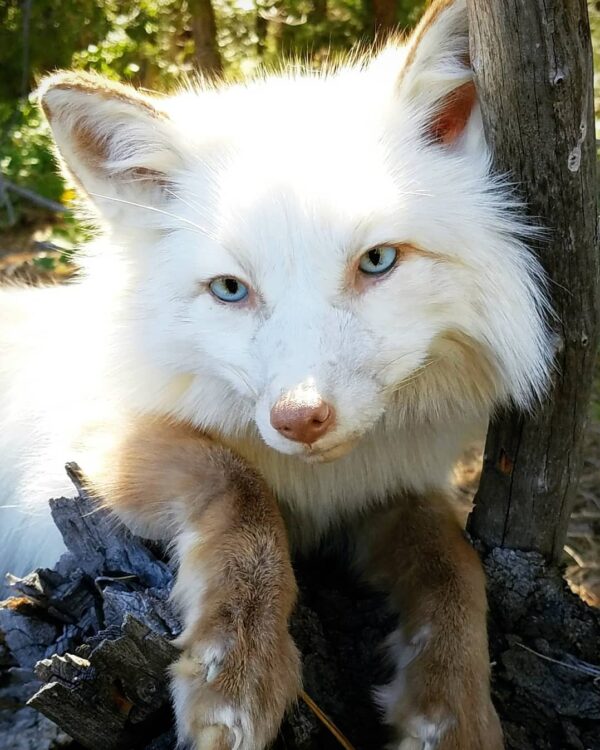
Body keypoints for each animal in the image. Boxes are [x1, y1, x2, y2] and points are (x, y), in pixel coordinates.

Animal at [0, 0, 553, 748]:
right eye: (230, 290)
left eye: (377, 261)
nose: (300, 418)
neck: (321, 488)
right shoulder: (74, 462)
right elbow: (240, 489)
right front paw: (238, 668)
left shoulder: (391, 485)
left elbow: (455, 569)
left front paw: (453, 708)